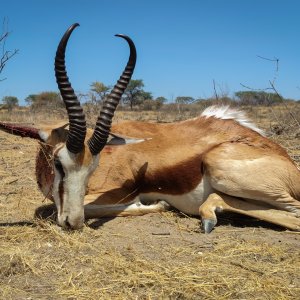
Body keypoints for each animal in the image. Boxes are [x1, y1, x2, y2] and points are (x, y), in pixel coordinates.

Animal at [0, 24, 300, 233]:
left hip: (222, 168)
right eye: (59, 164)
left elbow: (70, 208)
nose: (73, 223)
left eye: (92, 168)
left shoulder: (114, 193)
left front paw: (157, 204)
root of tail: (288, 162)